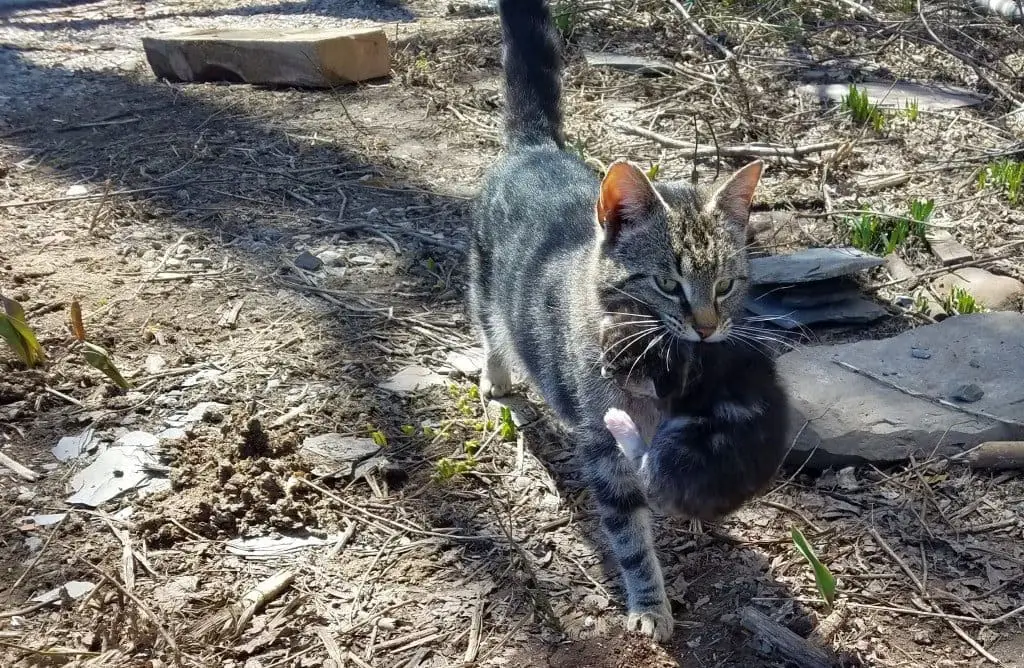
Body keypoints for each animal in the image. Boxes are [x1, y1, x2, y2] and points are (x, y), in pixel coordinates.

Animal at [468, 0, 765, 643]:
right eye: (667, 285)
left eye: (725, 285)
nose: (707, 326)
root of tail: (535, 148)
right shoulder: (606, 453)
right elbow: (630, 538)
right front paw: (650, 605)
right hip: (481, 287)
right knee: (490, 331)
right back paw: (496, 376)